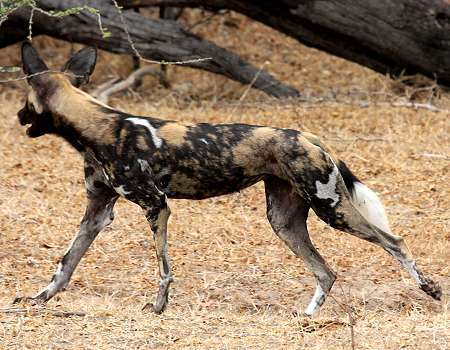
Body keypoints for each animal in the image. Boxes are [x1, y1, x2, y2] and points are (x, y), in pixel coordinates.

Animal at [14, 41, 440, 318]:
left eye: (25, 102)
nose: (18, 117)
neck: (98, 126)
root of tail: (310, 137)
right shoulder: (97, 212)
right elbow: (65, 264)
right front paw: (39, 299)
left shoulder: (156, 206)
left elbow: (163, 268)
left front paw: (158, 307)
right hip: (284, 221)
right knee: (326, 271)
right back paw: (307, 317)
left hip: (331, 209)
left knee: (394, 241)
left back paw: (429, 289)